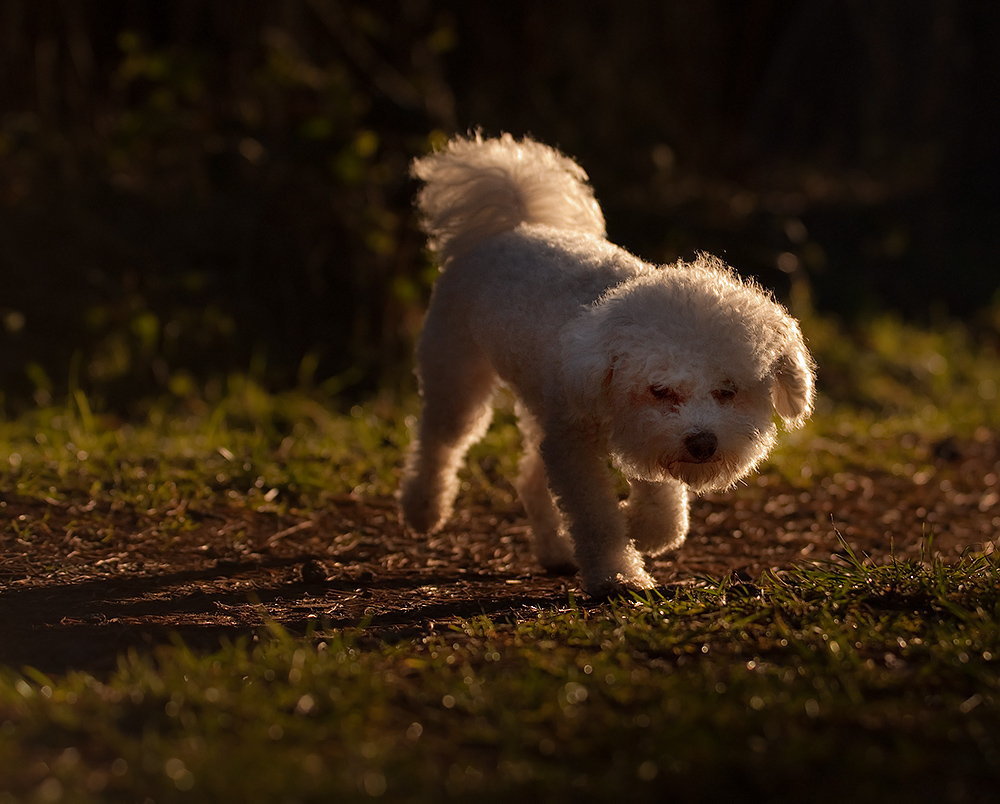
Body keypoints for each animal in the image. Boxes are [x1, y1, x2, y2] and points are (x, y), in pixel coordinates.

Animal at [398, 133, 812, 596]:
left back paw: (556, 549)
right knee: (440, 439)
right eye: (660, 390)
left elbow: (660, 503)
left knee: (530, 478)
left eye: (728, 391)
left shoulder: (634, 434)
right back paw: (422, 509)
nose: (703, 444)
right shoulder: (577, 442)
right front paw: (618, 574)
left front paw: (643, 528)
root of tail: (513, 224)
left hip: (537, 405)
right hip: (456, 372)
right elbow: (596, 515)